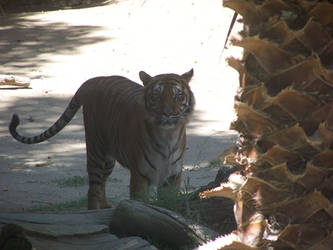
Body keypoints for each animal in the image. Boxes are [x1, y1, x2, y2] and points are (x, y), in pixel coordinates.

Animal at [9, 69, 193, 210]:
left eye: (178, 96)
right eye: (157, 96)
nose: (168, 113)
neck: (167, 135)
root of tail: (94, 80)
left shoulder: (173, 176)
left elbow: (169, 203)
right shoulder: (140, 175)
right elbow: (140, 204)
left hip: (109, 157)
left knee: (103, 182)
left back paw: (105, 205)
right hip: (95, 150)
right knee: (93, 188)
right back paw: (94, 211)